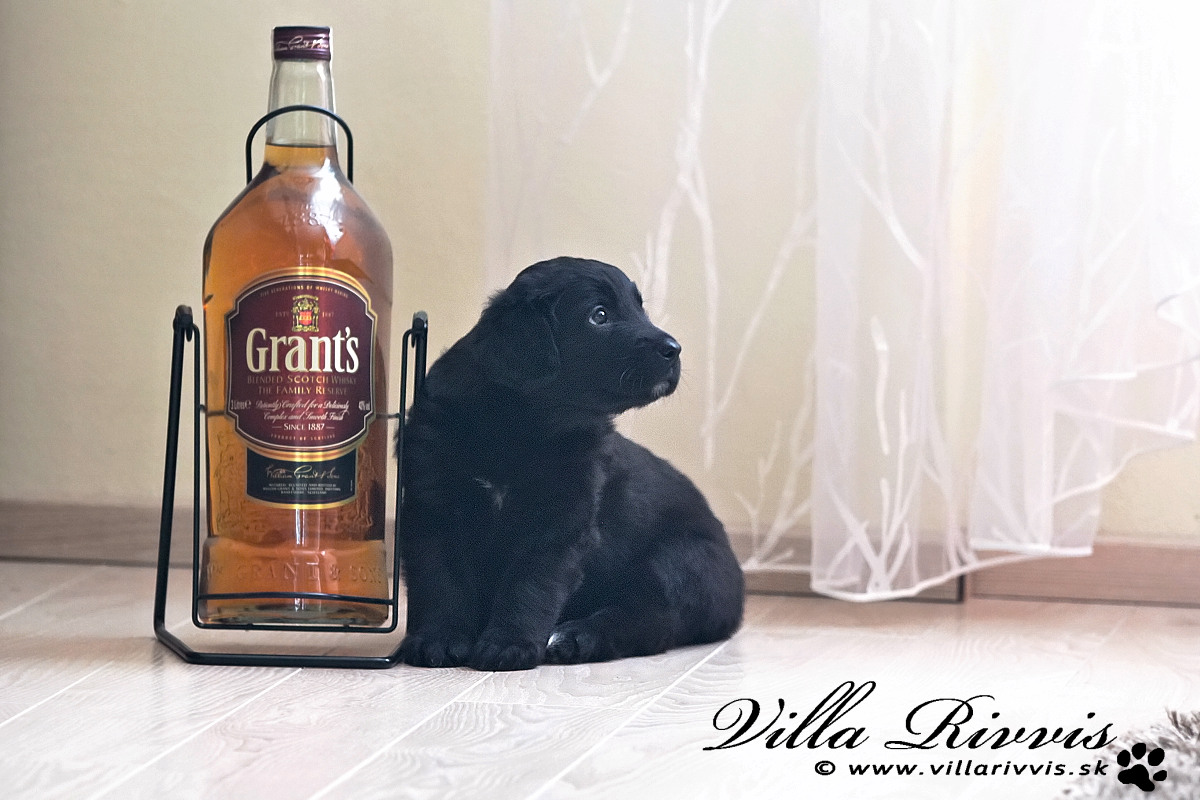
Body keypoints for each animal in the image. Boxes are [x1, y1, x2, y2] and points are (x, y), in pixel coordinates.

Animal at [397, 256, 744, 671]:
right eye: (599, 315)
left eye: (639, 308)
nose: (674, 349)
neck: (519, 425)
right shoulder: (432, 508)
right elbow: (441, 581)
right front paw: (439, 639)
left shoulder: (560, 521)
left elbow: (529, 585)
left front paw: (509, 645)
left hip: (682, 561)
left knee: (650, 618)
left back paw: (574, 638)